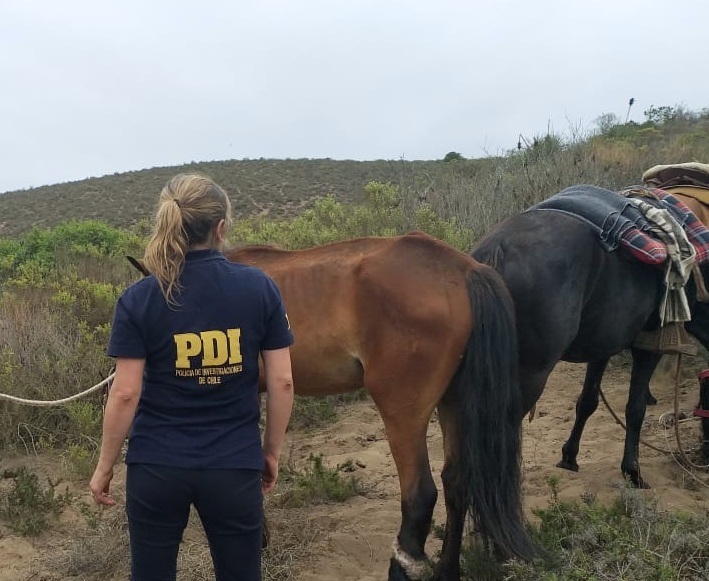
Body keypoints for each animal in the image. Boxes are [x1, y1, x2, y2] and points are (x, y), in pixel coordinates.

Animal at [221, 232, 539, 580]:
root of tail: (464, 269)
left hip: (403, 414)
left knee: (420, 496)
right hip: (453, 403)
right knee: (456, 482)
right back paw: (447, 570)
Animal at [471, 184, 709, 489]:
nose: (703, 453)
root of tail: (498, 250)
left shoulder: (602, 346)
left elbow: (587, 401)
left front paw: (569, 456)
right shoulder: (648, 345)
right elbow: (635, 408)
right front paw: (633, 472)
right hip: (530, 374)